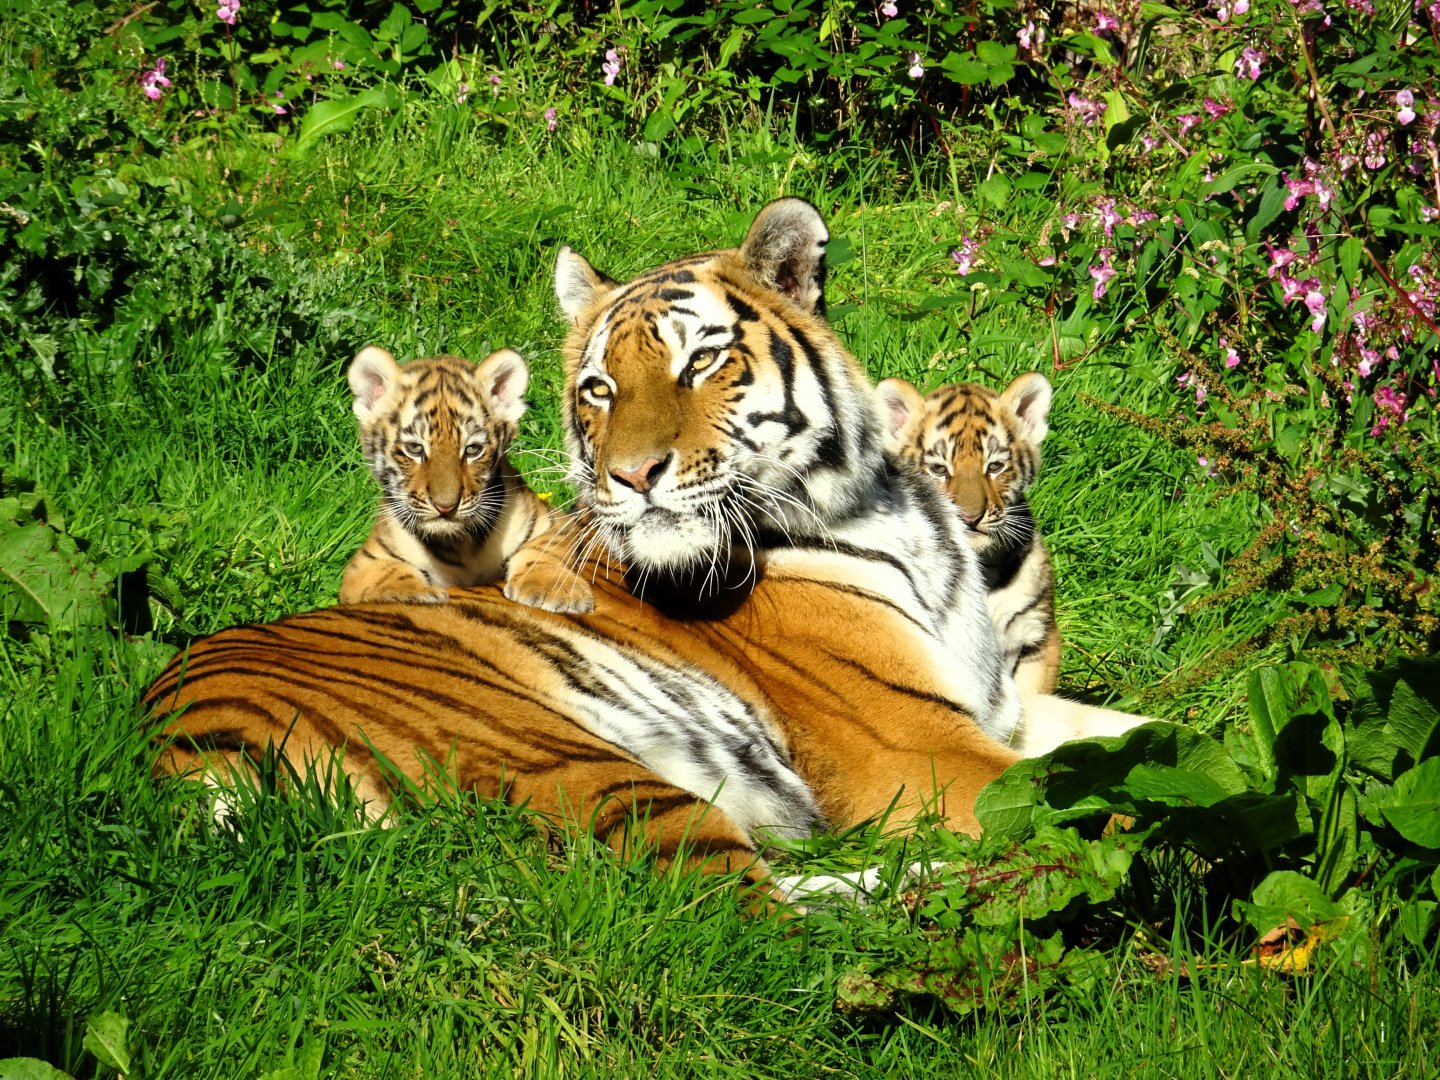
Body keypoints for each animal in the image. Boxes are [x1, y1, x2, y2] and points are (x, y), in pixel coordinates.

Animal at [338, 345, 593, 614]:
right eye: (414, 449)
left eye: (472, 450)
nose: (446, 507)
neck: (460, 544)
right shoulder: (366, 564)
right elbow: (390, 578)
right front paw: (418, 594)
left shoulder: (554, 522)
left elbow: (542, 552)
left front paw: (554, 589)